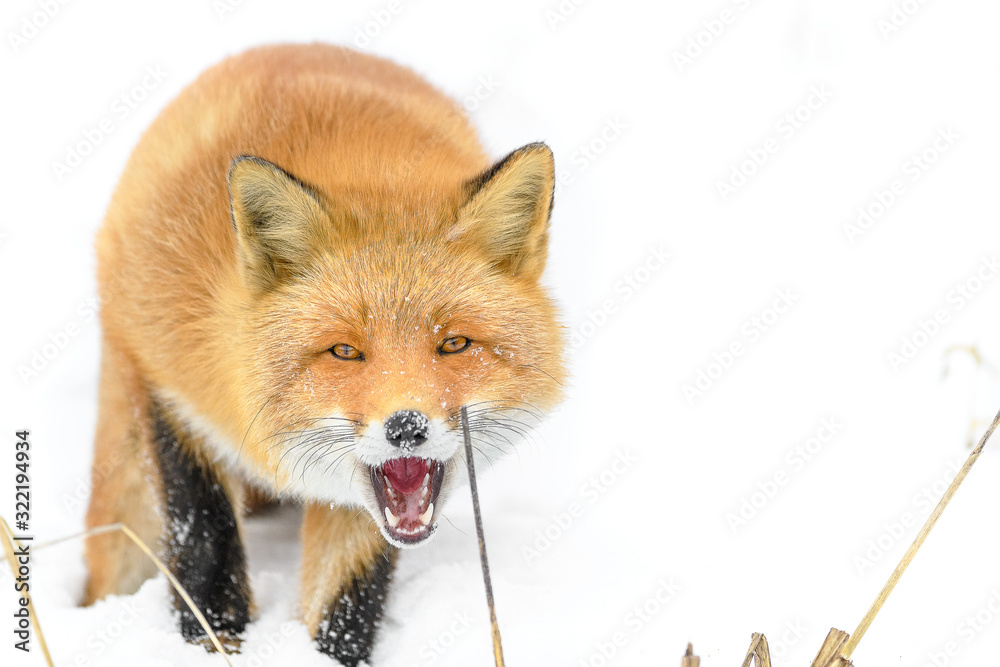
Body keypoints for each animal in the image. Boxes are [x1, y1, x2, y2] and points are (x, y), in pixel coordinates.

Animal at [82, 43, 566, 665]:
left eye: (454, 343)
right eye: (344, 351)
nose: (406, 428)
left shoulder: (360, 503)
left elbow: (345, 603)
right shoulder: (171, 393)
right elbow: (206, 546)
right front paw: (215, 640)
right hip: (126, 493)